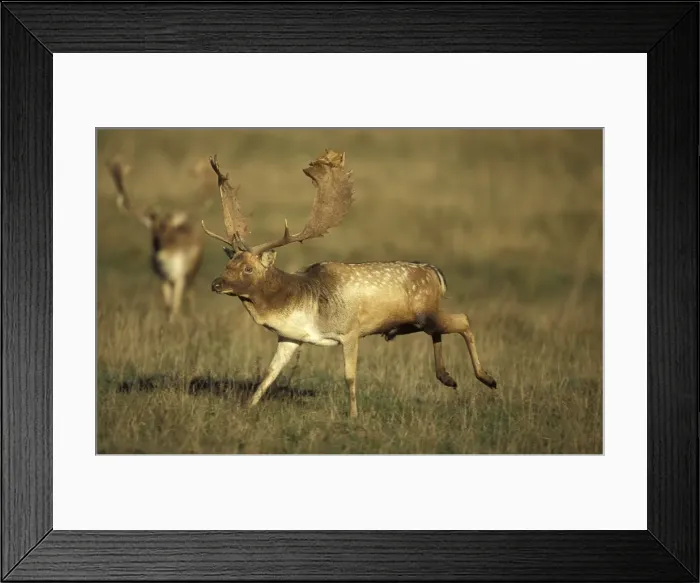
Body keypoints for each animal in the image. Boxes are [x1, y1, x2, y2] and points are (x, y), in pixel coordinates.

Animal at [107, 158, 205, 322]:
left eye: (168, 231)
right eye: (152, 232)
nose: (159, 250)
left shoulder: (179, 277)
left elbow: (175, 306)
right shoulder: (162, 278)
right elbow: (167, 306)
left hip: (192, 272)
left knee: (191, 293)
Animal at [201, 149, 497, 418]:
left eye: (248, 268)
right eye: (229, 263)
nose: (216, 284)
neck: (303, 304)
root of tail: (436, 273)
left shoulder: (350, 330)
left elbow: (349, 376)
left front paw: (354, 416)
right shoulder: (290, 337)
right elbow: (270, 373)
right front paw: (247, 406)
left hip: (425, 313)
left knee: (463, 319)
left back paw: (487, 378)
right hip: (418, 320)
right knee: (440, 330)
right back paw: (447, 377)